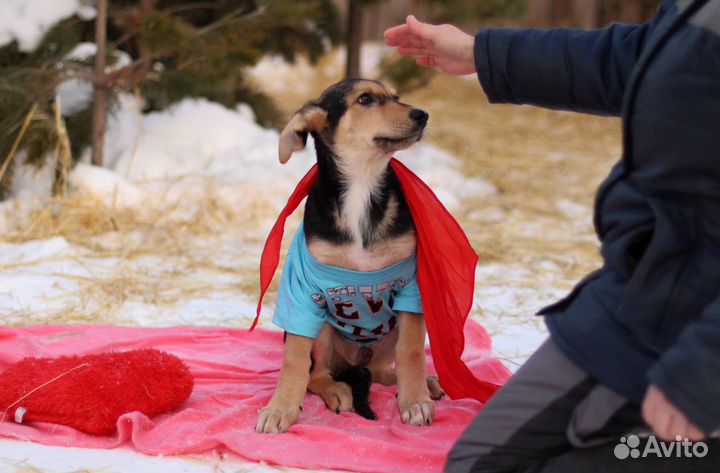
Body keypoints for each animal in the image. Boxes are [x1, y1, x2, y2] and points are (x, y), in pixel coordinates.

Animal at [253, 79, 444, 434]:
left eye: (396, 97)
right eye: (365, 99)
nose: (422, 115)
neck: (362, 188)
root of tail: (353, 363)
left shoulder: (410, 286)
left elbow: (411, 351)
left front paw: (415, 401)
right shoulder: (302, 291)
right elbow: (294, 360)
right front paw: (280, 408)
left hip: (387, 335)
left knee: (381, 371)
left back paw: (424, 384)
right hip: (323, 330)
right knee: (317, 374)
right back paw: (337, 391)